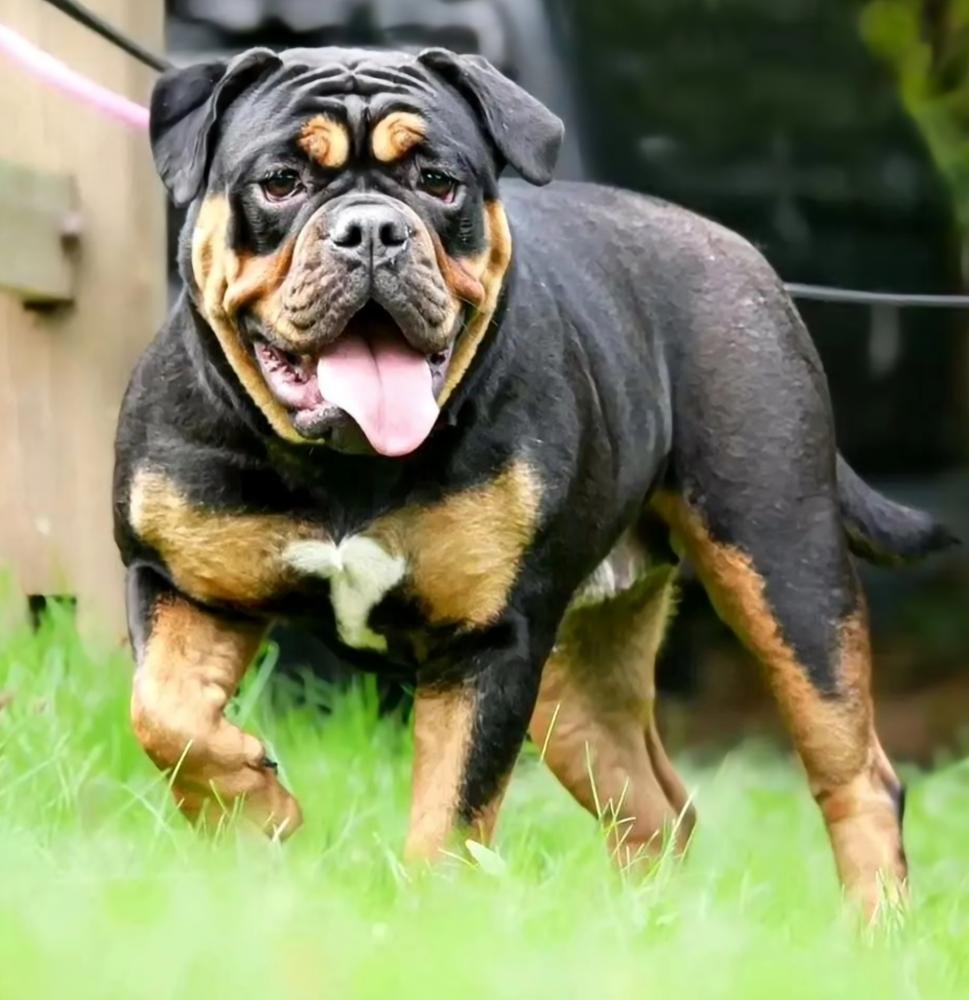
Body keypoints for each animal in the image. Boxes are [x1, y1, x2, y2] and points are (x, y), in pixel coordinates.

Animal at [113, 45, 952, 916]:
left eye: (438, 182)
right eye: (279, 182)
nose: (373, 229)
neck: (342, 465)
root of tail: (741, 253)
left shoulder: (491, 641)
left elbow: (449, 811)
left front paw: (427, 917)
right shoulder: (179, 581)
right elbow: (165, 714)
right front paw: (255, 808)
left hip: (786, 575)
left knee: (856, 777)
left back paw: (874, 929)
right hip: (574, 680)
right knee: (652, 805)